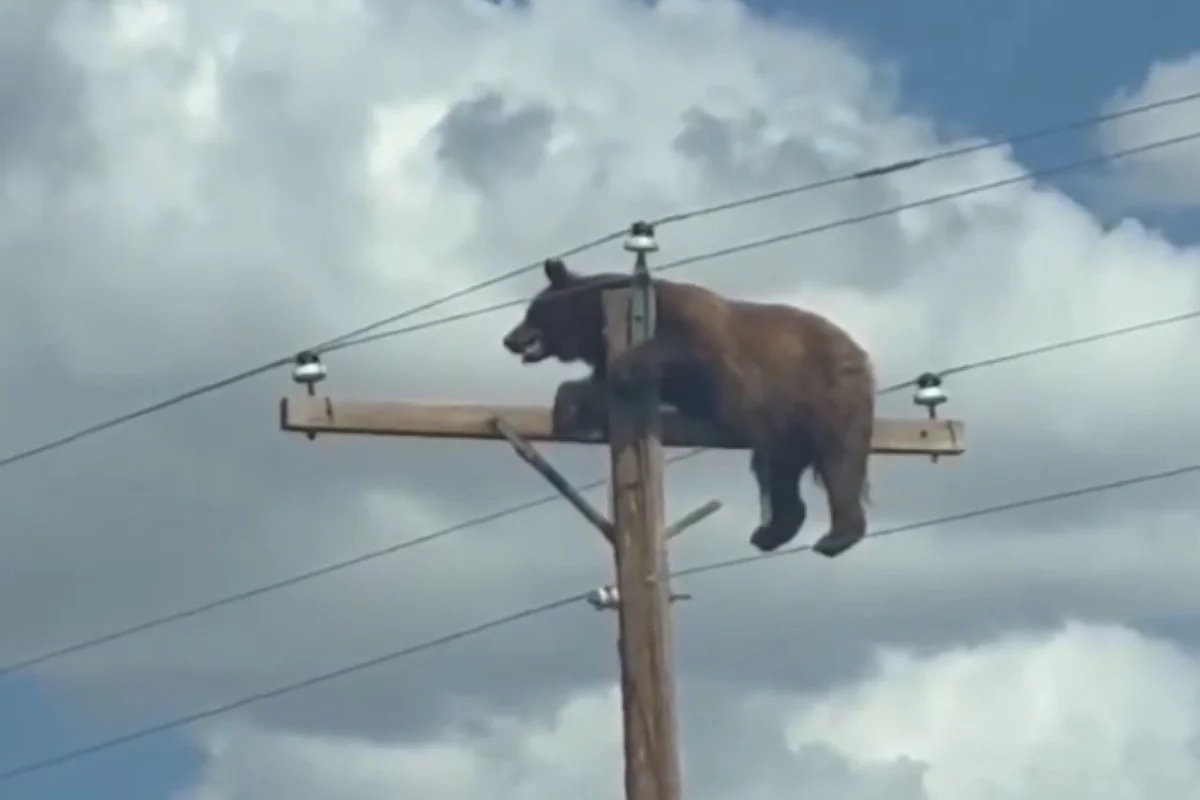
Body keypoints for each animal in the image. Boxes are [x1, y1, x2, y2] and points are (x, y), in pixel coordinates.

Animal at [502, 258, 875, 558]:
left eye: (531, 311)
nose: (509, 339)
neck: (597, 323)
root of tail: (859, 351)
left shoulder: (695, 331)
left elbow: (683, 351)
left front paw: (621, 372)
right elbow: (597, 386)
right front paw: (569, 408)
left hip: (827, 391)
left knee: (839, 459)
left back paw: (836, 536)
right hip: (784, 421)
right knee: (777, 466)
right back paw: (771, 531)